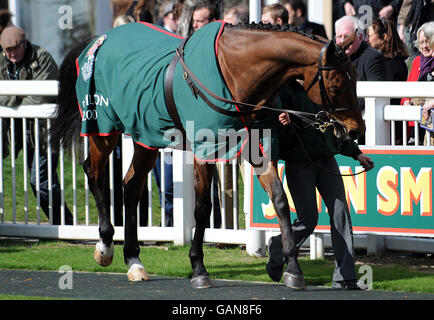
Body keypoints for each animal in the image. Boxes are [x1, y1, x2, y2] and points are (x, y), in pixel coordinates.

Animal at [49, 21, 364, 288]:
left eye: (356, 79)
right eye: (336, 84)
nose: (355, 130)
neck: (233, 73)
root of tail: (98, 40)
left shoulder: (257, 147)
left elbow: (280, 200)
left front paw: (292, 269)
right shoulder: (205, 149)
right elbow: (202, 208)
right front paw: (198, 268)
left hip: (145, 134)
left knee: (131, 186)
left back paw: (134, 260)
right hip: (102, 127)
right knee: (95, 173)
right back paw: (105, 246)